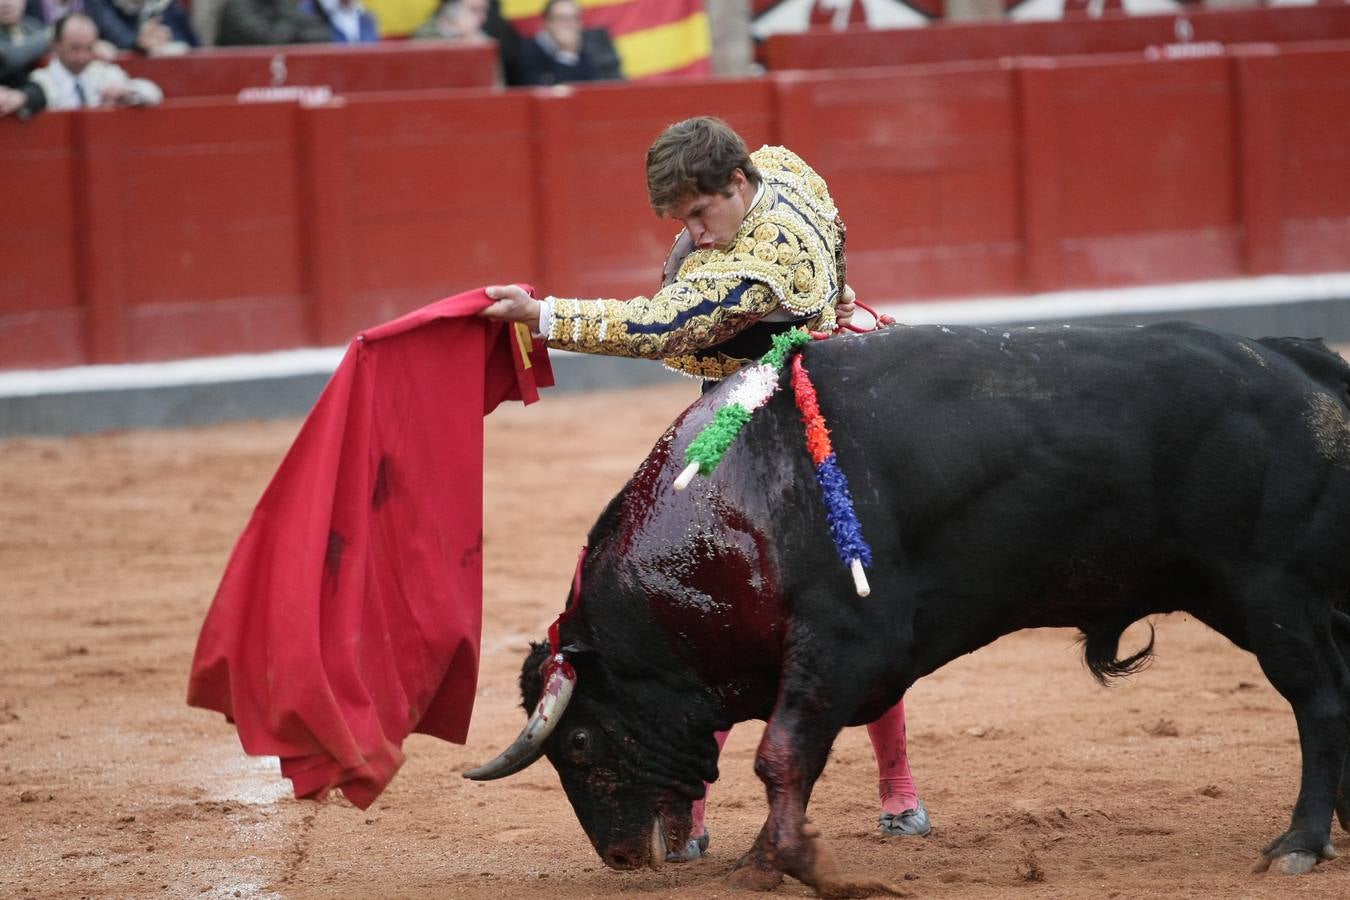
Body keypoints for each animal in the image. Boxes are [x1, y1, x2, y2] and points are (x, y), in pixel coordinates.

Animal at [467, 322, 1350, 895]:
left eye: (580, 741)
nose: (620, 857)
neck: (737, 509)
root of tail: (1298, 357)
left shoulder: (845, 641)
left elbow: (780, 755)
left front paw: (792, 864)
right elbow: (791, 757)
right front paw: (767, 858)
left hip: (1269, 592)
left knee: (1319, 701)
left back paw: (1300, 843)